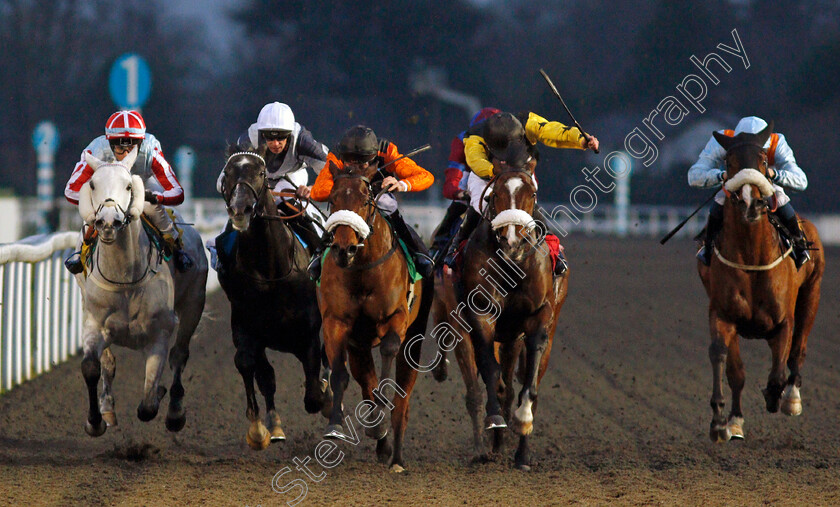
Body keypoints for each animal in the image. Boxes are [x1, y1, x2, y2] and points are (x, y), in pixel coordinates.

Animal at [74, 147, 208, 436]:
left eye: (128, 185)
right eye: (92, 184)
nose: (108, 222)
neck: (124, 279)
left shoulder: (159, 333)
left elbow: (147, 406)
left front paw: (159, 396)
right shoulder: (94, 323)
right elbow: (91, 366)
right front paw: (95, 421)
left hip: (194, 303)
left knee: (179, 355)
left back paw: (175, 412)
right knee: (108, 362)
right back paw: (108, 408)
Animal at [218, 145, 330, 450]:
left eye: (260, 173)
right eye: (227, 172)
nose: (240, 209)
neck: (270, 273)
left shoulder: (308, 331)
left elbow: (314, 391)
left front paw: (325, 395)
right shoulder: (245, 327)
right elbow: (251, 367)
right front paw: (259, 429)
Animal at [316, 162, 434, 472]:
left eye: (365, 201)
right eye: (332, 200)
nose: (344, 248)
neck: (363, 270)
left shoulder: (396, 317)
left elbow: (389, 349)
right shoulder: (336, 323)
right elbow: (340, 374)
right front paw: (335, 426)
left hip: (414, 338)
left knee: (402, 397)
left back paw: (396, 457)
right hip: (359, 345)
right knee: (364, 380)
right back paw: (379, 437)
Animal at [436, 161, 568, 470]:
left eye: (532, 193)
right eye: (494, 194)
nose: (512, 240)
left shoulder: (539, 315)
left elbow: (528, 382)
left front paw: (523, 421)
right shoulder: (480, 313)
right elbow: (489, 370)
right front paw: (495, 420)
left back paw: (519, 453)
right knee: (479, 389)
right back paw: (486, 447)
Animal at [696, 125, 828, 442]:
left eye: (764, 161)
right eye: (729, 162)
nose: (751, 202)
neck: (751, 256)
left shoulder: (783, 320)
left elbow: (780, 369)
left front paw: (775, 396)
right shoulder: (723, 314)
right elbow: (725, 361)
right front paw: (723, 421)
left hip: (812, 295)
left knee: (799, 349)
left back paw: (791, 398)